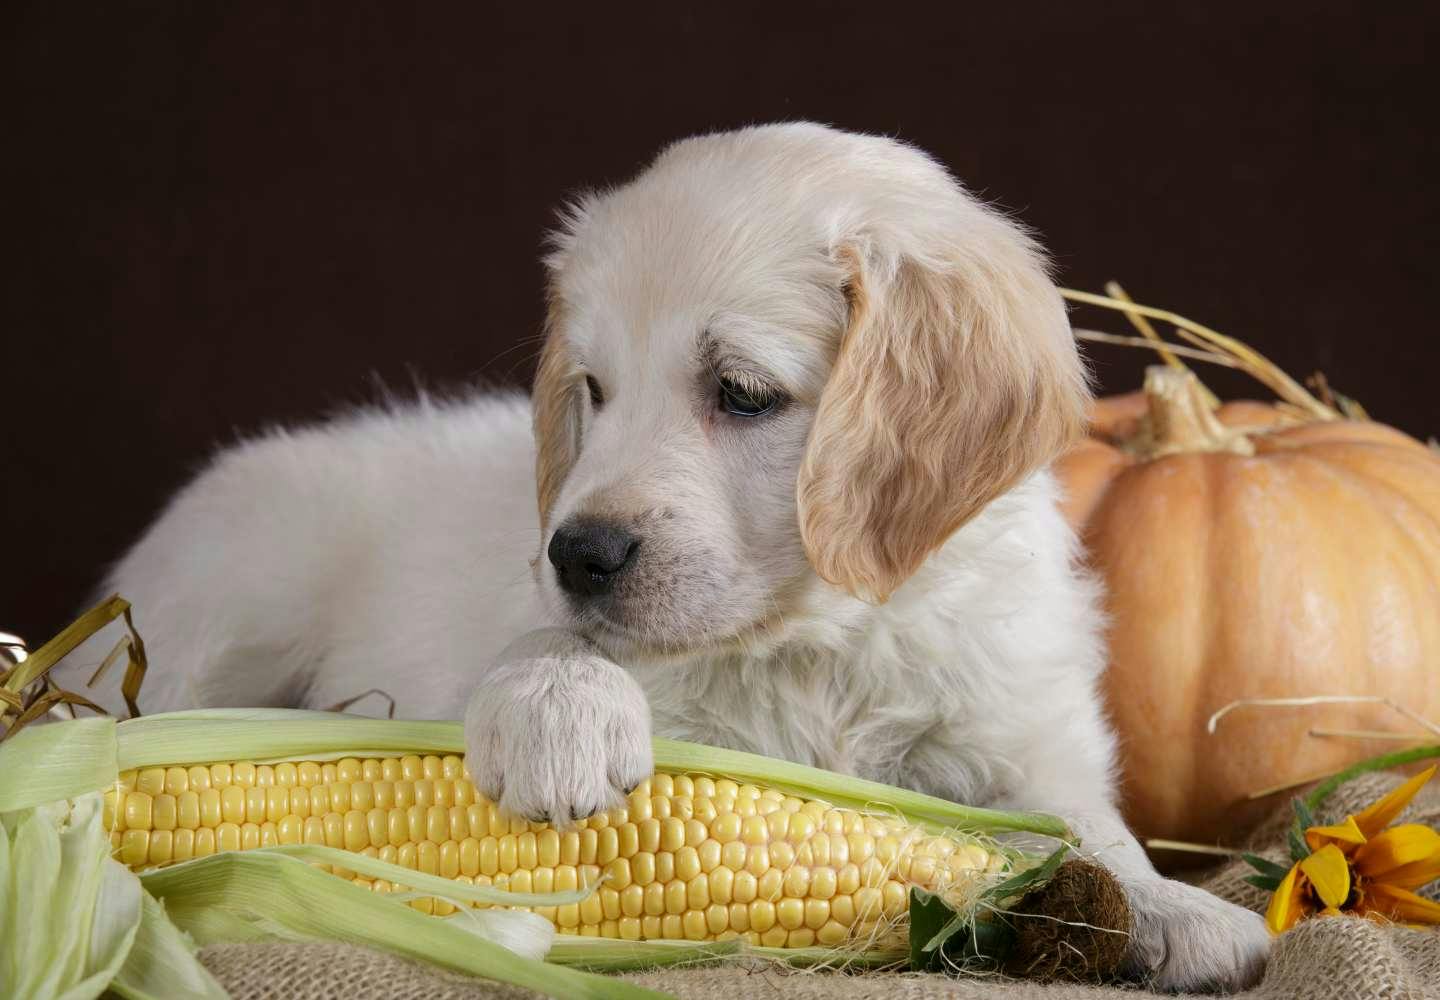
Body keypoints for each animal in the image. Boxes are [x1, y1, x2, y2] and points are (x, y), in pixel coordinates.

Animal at [84, 123, 1267, 985]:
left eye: (741, 392)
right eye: (593, 391)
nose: (578, 553)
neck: (816, 642)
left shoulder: (1019, 722)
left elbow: (1081, 824)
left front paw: (1175, 906)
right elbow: (551, 646)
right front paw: (556, 712)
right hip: (231, 604)